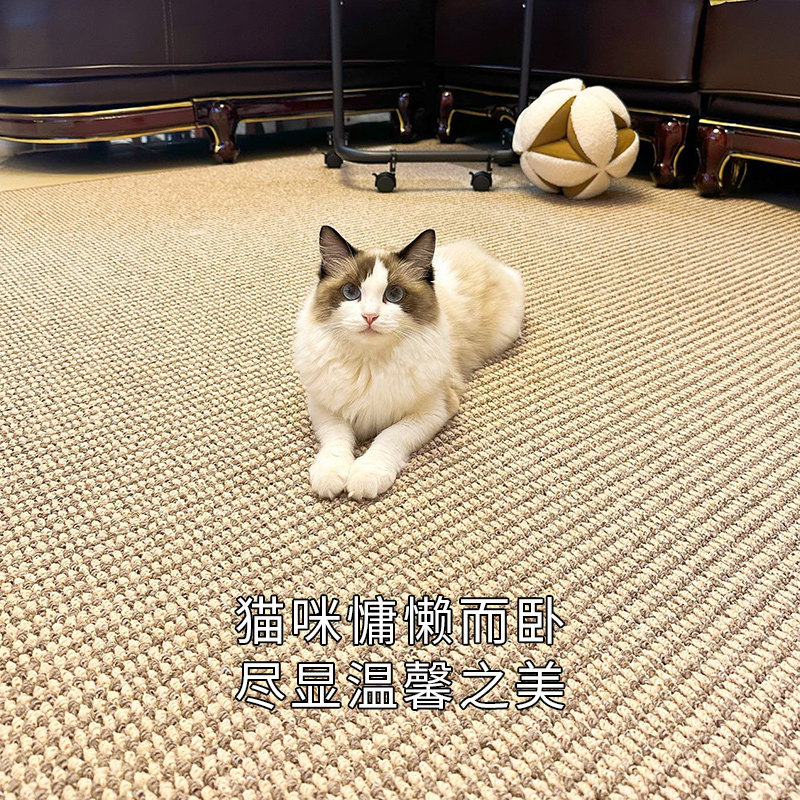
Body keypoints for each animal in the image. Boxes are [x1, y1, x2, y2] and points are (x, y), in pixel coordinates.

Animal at [293, 225, 525, 500]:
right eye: (351, 292)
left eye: (394, 294)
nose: (369, 316)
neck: (369, 364)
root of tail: (474, 249)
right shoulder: (324, 406)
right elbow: (337, 439)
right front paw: (330, 476)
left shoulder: (432, 411)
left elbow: (389, 437)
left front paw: (366, 474)